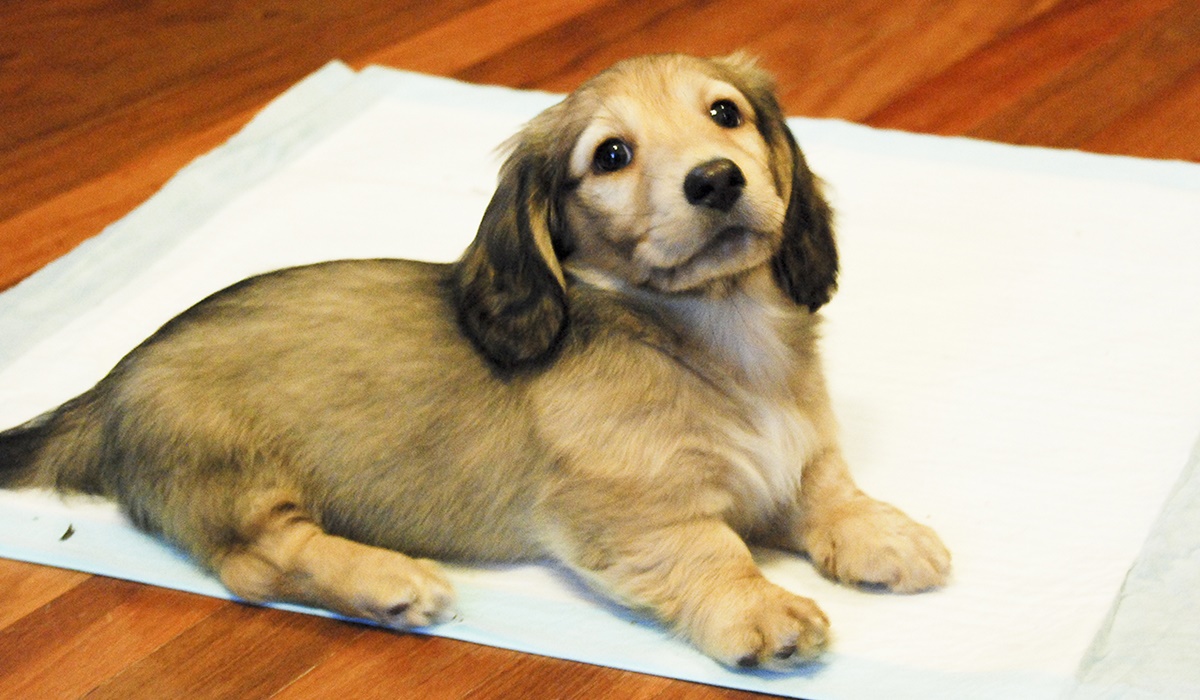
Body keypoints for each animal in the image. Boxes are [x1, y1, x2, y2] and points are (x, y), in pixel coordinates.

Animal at [2, 53, 955, 667]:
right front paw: (761, 609)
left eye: (725, 112)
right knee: (258, 562)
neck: (714, 332)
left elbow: (828, 492)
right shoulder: (632, 513)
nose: (717, 179)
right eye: (611, 155)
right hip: (236, 477)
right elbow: (711, 551)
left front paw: (886, 535)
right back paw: (387, 580)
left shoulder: (796, 455)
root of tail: (106, 389)